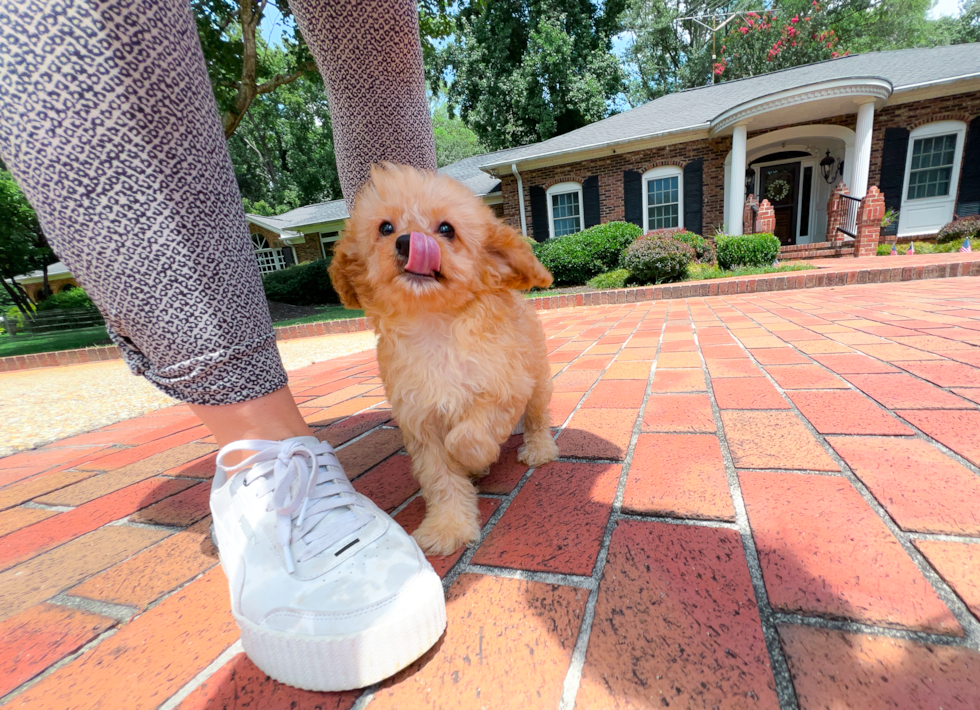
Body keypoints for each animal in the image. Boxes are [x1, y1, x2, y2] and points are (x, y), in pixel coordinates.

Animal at [330, 163, 560, 556]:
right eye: (385, 228)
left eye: (446, 229)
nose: (407, 242)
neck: (434, 324)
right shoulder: (420, 420)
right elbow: (441, 477)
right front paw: (448, 527)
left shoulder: (504, 388)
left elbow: (467, 436)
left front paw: (475, 459)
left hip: (537, 379)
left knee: (536, 418)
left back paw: (538, 449)